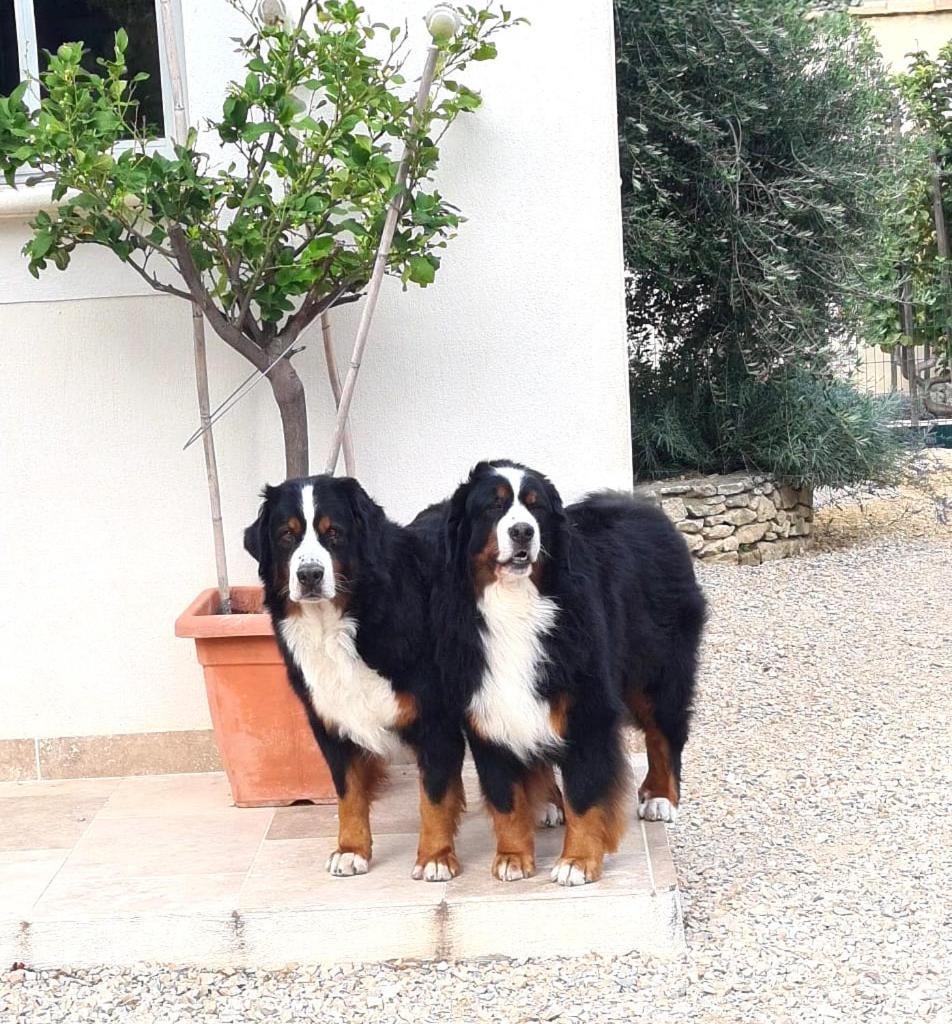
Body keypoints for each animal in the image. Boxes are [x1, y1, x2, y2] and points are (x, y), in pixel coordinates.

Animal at [242, 473, 464, 880]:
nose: (309, 574)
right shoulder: (329, 721)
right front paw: (350, 850)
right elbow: (349, 793)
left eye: (334, 533)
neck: (337, 624)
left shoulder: (434, 718)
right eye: (286, 536)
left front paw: (436, 856)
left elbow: (434, 795)